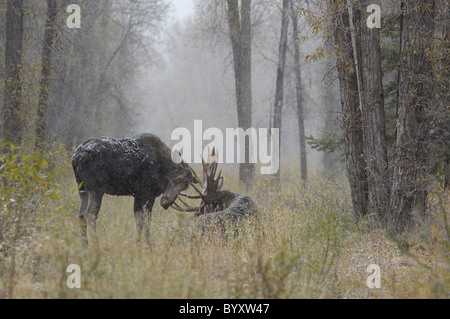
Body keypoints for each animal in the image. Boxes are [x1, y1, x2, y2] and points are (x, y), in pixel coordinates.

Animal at [71, 134, 200, 244]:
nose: (166, 203)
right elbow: (146, 222)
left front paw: (138, 244)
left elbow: (139, 221)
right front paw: (147, 245)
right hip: (96, 189)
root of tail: (76, 158)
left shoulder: (138, 195)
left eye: (186, 186)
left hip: (82, 188)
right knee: (90, 214)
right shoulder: (148, 195)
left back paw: (85, 244)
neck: (163, 169)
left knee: (81, 215)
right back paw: (95, 245)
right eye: (179, 179)